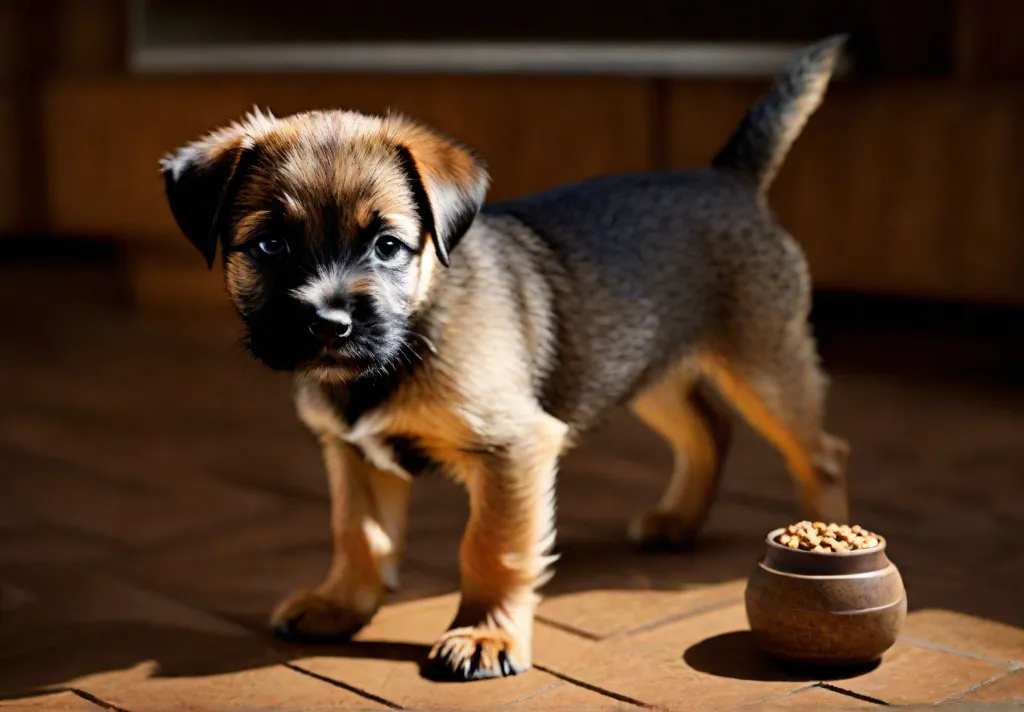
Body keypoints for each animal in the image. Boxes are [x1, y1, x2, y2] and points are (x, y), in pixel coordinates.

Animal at [159, 36, 847, 684]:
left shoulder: (512, 449)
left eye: (388, 246)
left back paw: (826, 548)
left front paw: (484, 635)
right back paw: (678, 520)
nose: (330, 323)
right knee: (710, 428)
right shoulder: (352, 454)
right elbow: (358, 535)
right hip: (647, 366)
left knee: (820, 453)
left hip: (764, 363)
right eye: (270, 245)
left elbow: (492, 548)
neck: (412, 337)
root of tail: (728, 178)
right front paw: (341, 605)